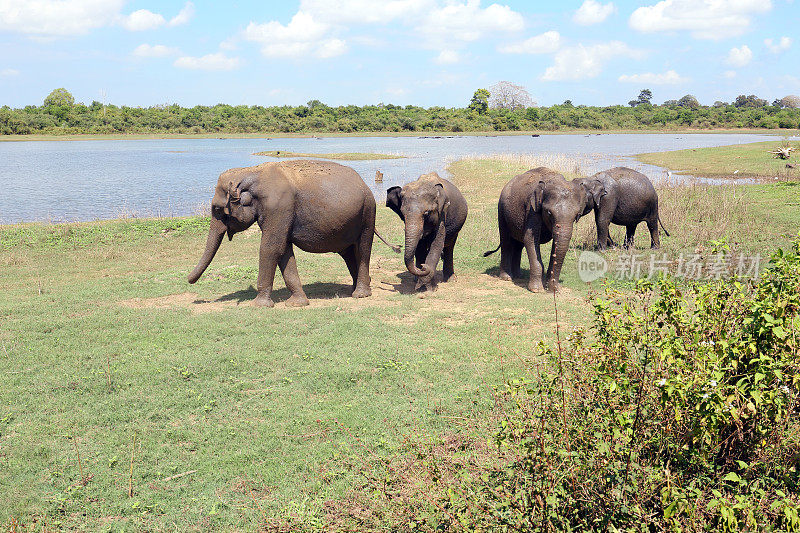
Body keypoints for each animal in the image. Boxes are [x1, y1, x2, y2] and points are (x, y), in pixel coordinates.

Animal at [188, 159, 400, 308]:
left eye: (217, 210)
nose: (189, 280)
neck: (251, 171)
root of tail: (366, 185)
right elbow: (283, 251)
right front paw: (297, 303)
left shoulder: (279, 207)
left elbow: (270, 248)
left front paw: (258, 305)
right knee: (348, 253)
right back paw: (357, 288)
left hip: (368, 214)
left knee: (363, 249)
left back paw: (360, 294)